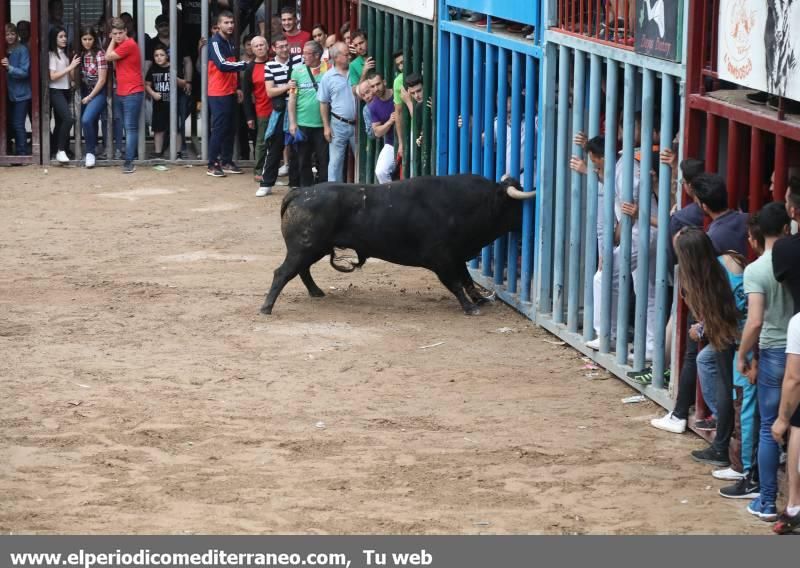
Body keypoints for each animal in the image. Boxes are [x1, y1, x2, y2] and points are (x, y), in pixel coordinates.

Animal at [262, 174, 536, 316]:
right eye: (516, 205)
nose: (530, 226)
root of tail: (300, 192)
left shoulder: (457, 257)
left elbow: (467, 280)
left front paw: (479, 300)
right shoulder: (442, 259)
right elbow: (456, 283)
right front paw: (470, 307)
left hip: (312, 249)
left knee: (301, 271)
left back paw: (316, 292)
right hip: (304, 248)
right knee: (282, 273)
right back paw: (267, 307)